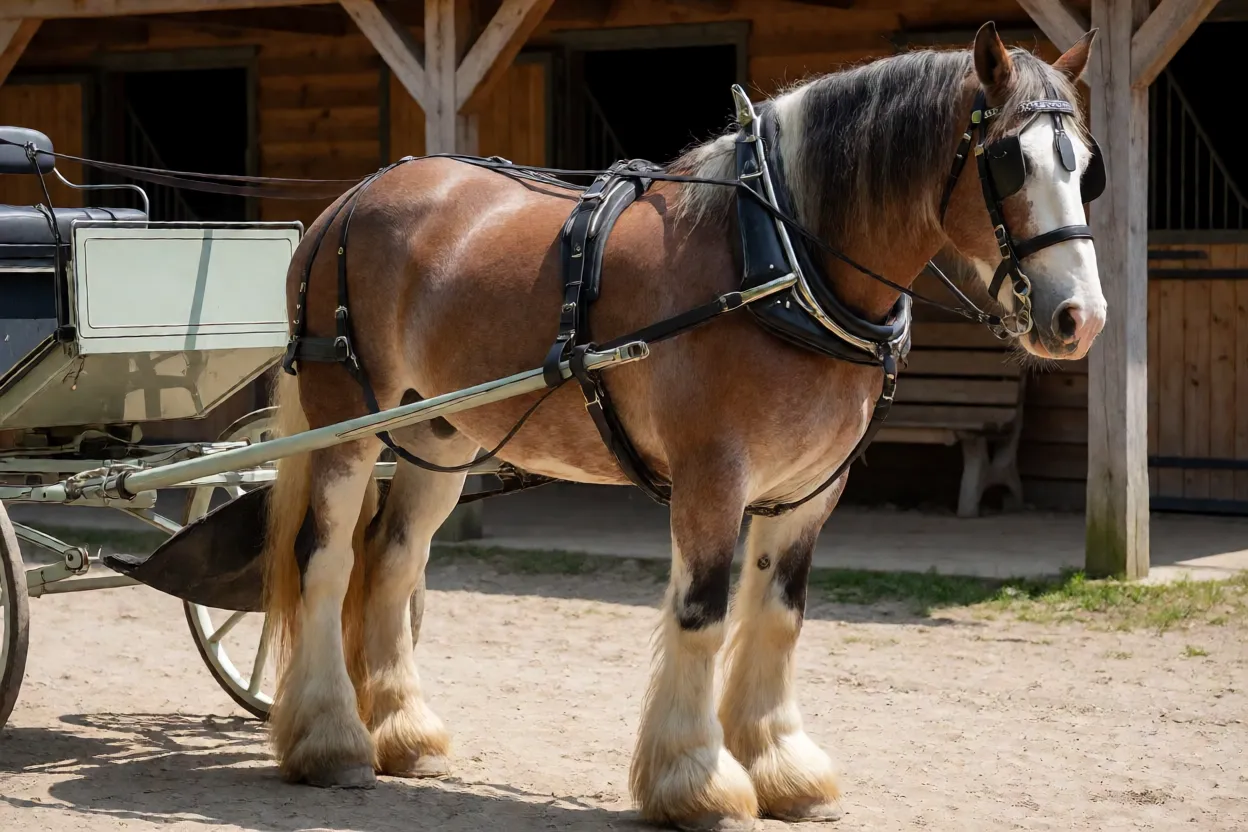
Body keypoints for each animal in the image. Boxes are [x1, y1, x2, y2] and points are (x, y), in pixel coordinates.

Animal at [260, 22, 1104, 830]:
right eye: (1009, 162)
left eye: (1086, 168)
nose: (1081, 318)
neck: (778, 264)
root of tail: (351, 199)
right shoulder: (711, 479)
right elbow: (701, 615)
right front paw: (696, 785)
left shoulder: (810, 489)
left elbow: (777, 616)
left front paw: (782, 769)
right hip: (346, 426)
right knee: (325, 560)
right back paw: (330, 741)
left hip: (440, 438)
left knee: (393, 561)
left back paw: (404, 732)